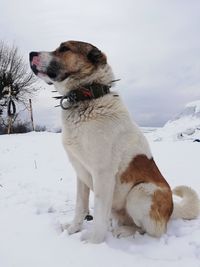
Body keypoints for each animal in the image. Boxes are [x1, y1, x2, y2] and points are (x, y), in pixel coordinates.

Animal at [28, 40, 199, 244]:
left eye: (64, 48)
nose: (30, 54)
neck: (88, 97)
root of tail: (171, 210)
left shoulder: (103, 175)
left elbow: (99, 217)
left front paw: (93, 244)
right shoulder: (81, 173)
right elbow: (80, 207)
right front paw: (72, 230)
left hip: (140, 192)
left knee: (151, 231)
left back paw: (124, 232)